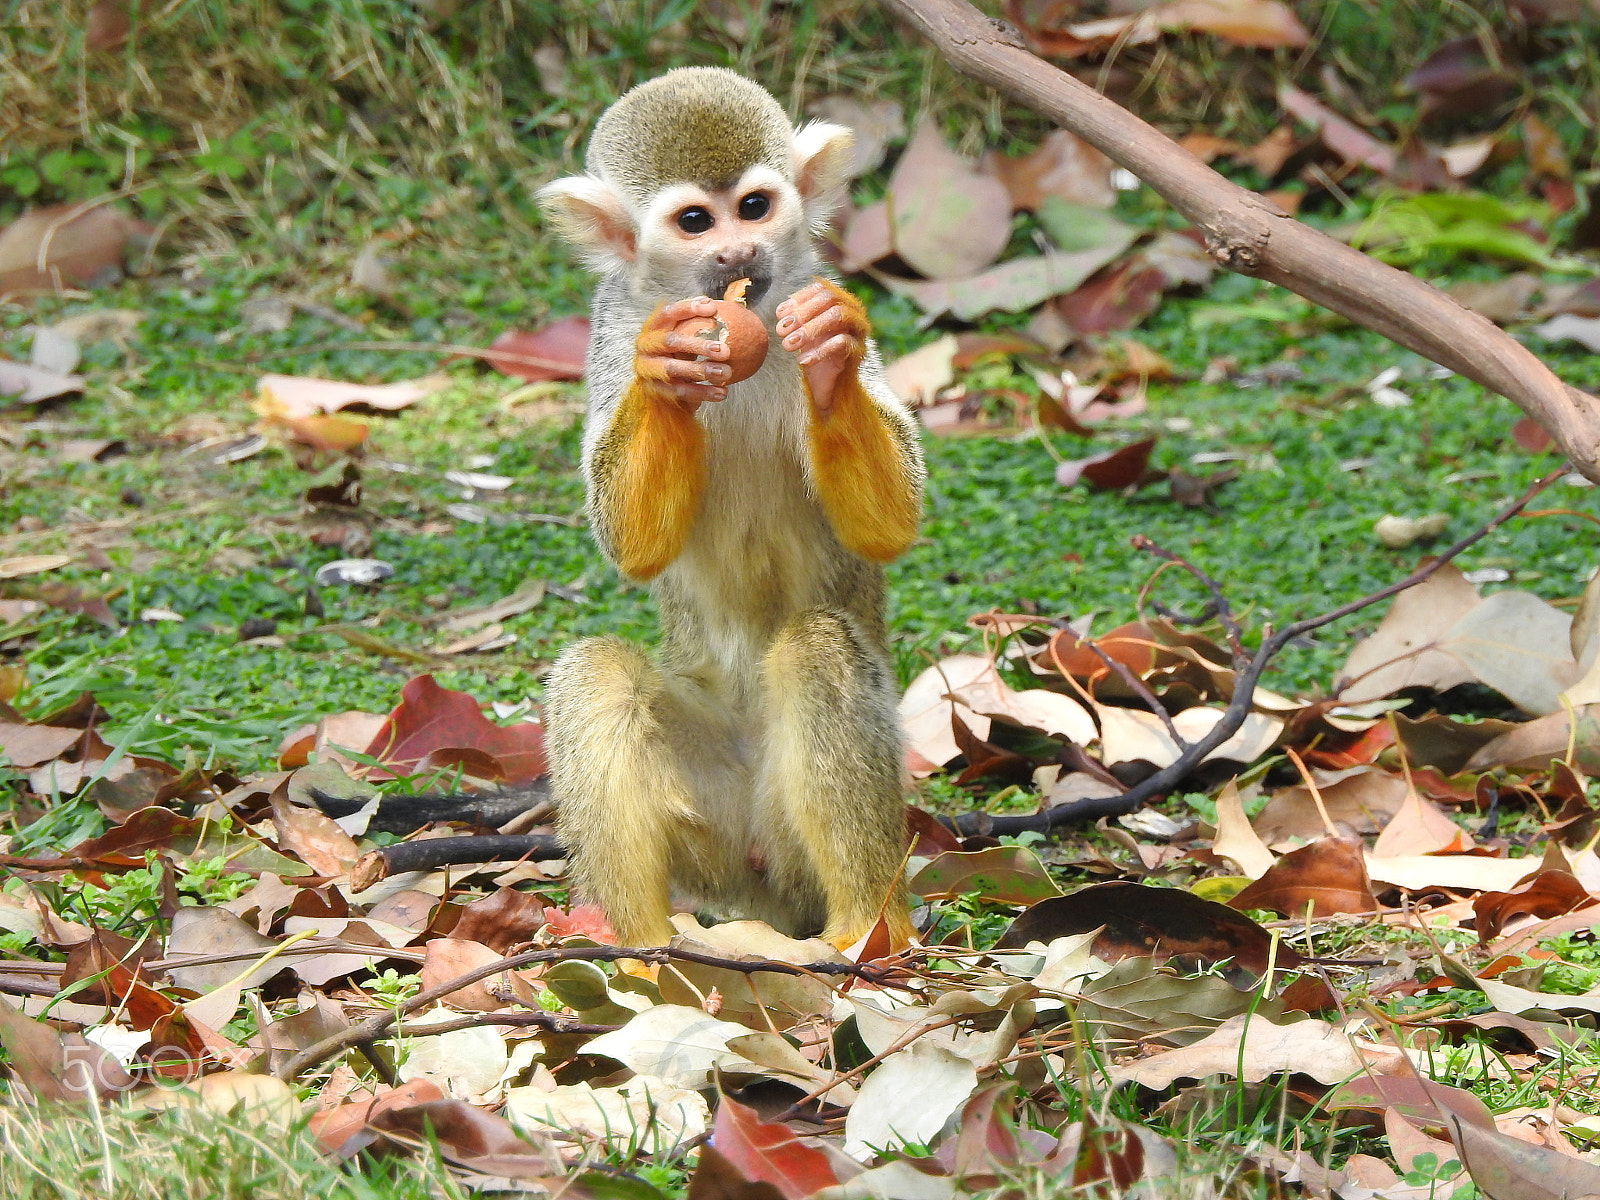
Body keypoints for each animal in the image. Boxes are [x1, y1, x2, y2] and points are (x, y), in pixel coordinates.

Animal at [534, 68, 921, 960]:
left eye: (753, 207)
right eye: (694, 222)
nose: (739, 255)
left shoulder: (809, 279)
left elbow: (890, 526)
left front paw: (832, 353)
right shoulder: (612, 324)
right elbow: (628, 543)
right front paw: (665, 370)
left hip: (798, 826)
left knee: (819, 651)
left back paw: (866, 925)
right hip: (714, 836)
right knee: (595, 674)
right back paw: (638, 947)